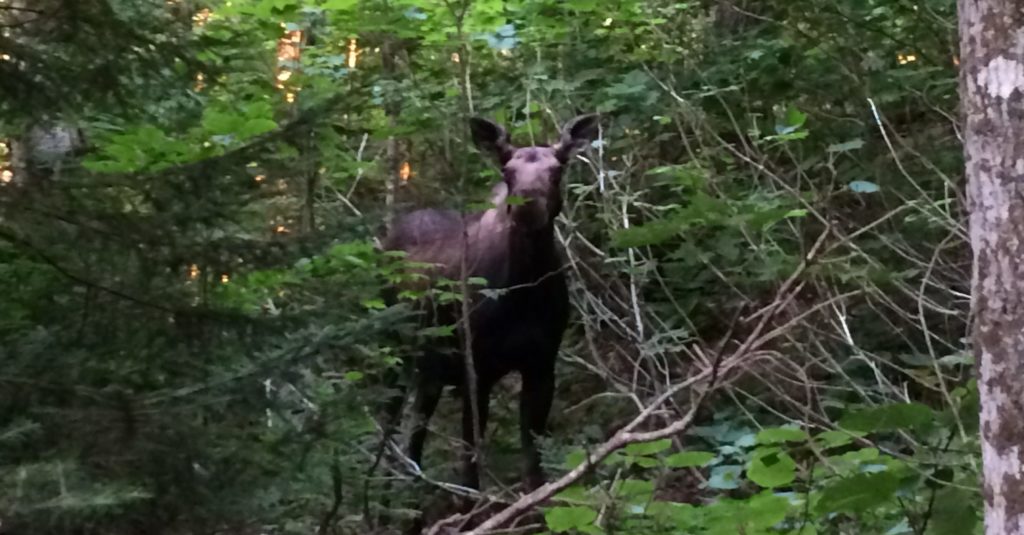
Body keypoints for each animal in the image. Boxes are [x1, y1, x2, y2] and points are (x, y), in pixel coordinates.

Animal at [380, 114, 598, 489]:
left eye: (557, 170)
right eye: (507, 171)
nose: (527, 206)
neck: (523, 294)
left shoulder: (542, 364)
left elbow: (533, 462)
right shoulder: (477, 372)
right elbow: (470, 464)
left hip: (430, 368)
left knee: (416, 430)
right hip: (392, 352)